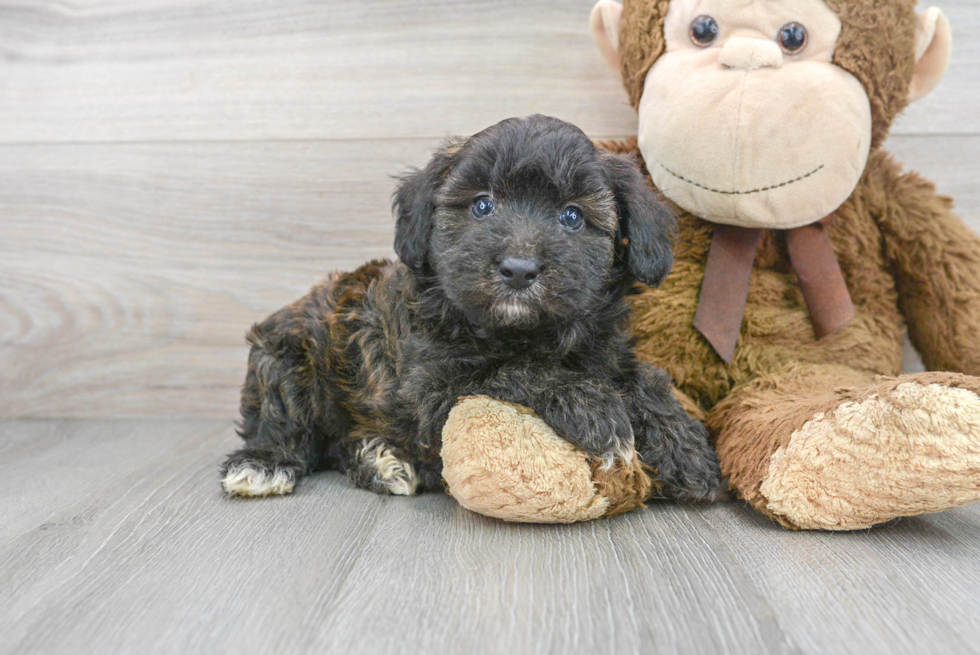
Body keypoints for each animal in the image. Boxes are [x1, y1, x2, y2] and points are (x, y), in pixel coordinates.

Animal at [222, 114, 720, 502]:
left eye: (572, 216)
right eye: (483, 206)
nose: (518, 270)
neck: (524, 331)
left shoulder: (608, 350)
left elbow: (643, 380)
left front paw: (685, 446)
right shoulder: (435, 388)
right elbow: (512, 371)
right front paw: (590, 405)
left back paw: (382, 460)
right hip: (287, 358)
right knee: (286, 424)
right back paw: (264, 463)